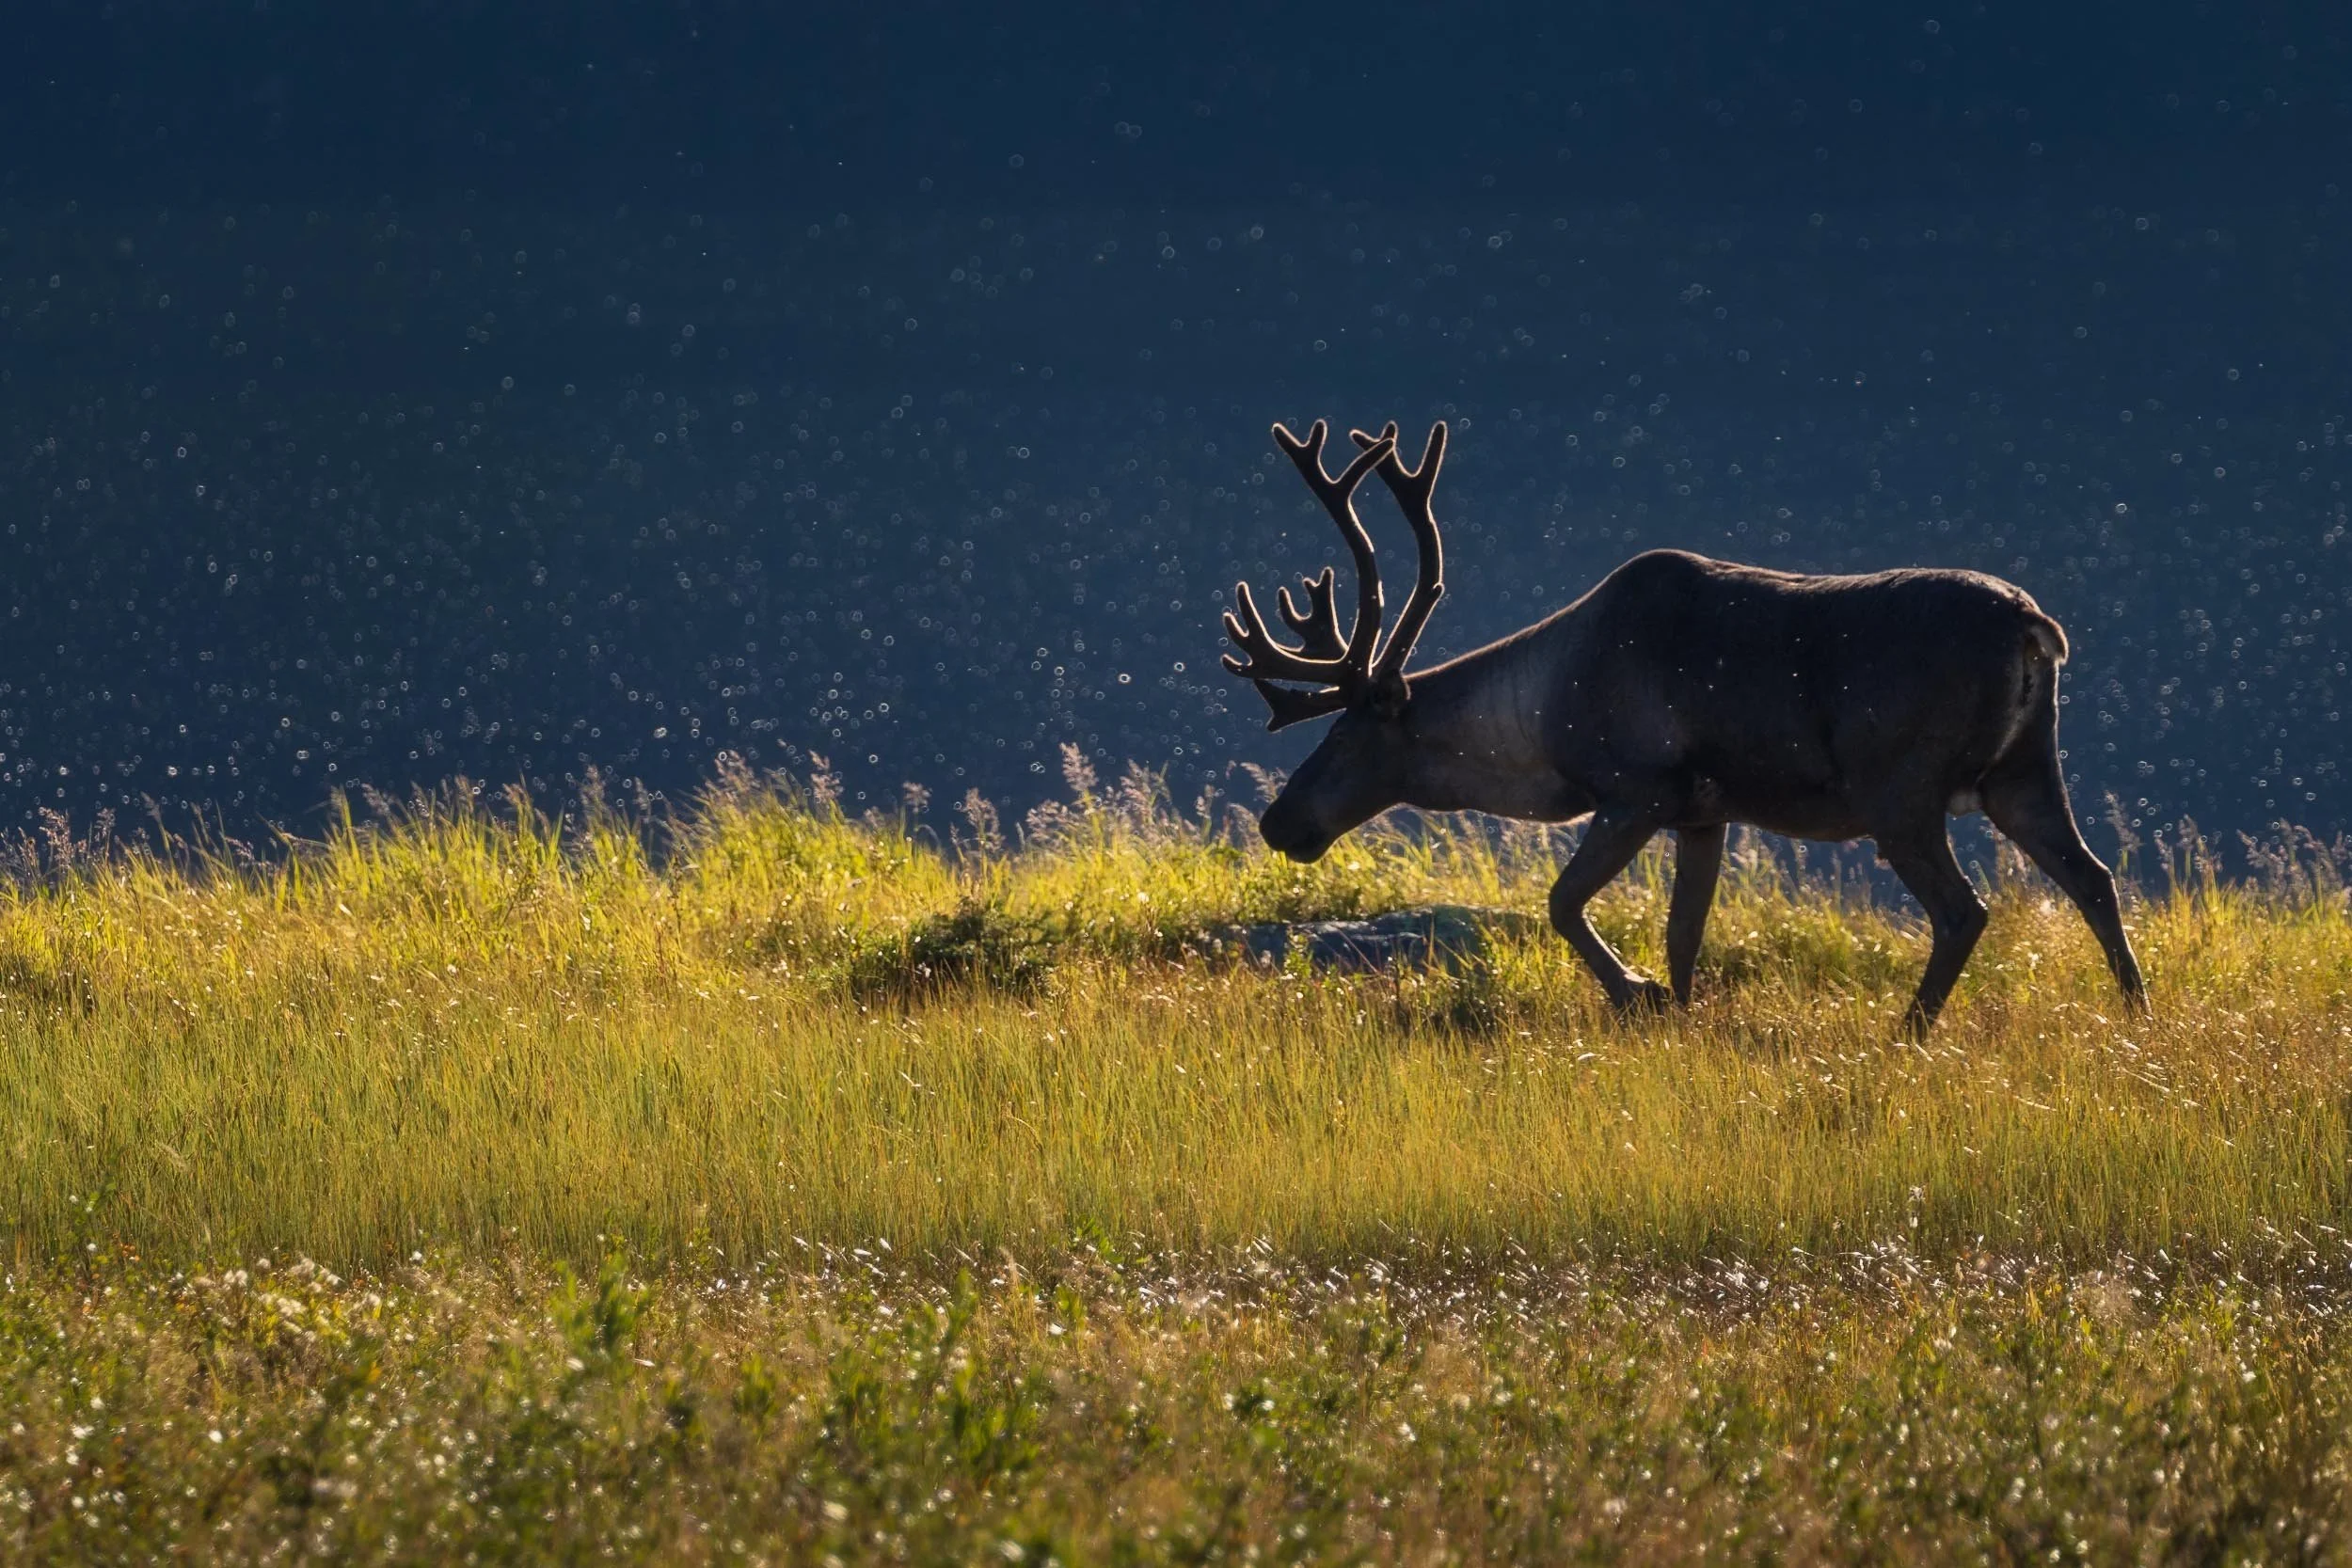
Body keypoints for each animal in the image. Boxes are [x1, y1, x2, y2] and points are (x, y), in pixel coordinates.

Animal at [1222, 417, 2146, 1034]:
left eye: (1345, 736)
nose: (1278, 821)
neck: (1540, 727)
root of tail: (2033, 626)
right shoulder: (1707, 812)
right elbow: (1683, 934)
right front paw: (1681, 1010)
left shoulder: (1639, 789)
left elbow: (1563, 902)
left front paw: (1637, 995)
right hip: (2024, 771)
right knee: (2094, 878)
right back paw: (2136, 1016)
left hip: (1901, 789)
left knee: (1964, 910)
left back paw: (1909, 1032)